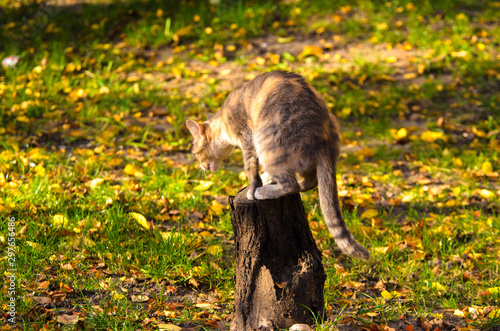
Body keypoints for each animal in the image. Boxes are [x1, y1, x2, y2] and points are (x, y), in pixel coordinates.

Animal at [186, 72, 370, 262]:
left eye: (195, 152)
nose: (202, 167)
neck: (223, 123)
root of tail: (327, 141)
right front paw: (265, 179)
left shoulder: (247, 140)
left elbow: (251, 170)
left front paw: (254, 188)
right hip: (302, 163)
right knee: (310, 182)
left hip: (268, 146)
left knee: (290, 184)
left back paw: (263, 191)